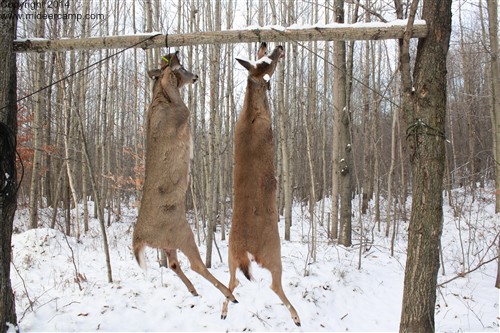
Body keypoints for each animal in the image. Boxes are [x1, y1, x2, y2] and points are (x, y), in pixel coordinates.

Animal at [132, 51, 235, 304]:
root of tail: (139, 237)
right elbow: (188, 112)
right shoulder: (183, 112)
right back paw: (229, 293)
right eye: (183, 67)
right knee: (196, 264)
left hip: (168, 243)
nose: (196, 75)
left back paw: (194, 290)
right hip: (181, 232)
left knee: (173, 264)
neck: (164, 98)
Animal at [220, 42, 298, 326]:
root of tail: (247, 248)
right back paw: (296, 316)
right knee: (275, 286)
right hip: (274, 255)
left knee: (231, 283)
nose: (278, 46)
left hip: (231, 257)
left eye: (264, 55)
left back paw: (224, 310)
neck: (251, 113)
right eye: (267, 63)